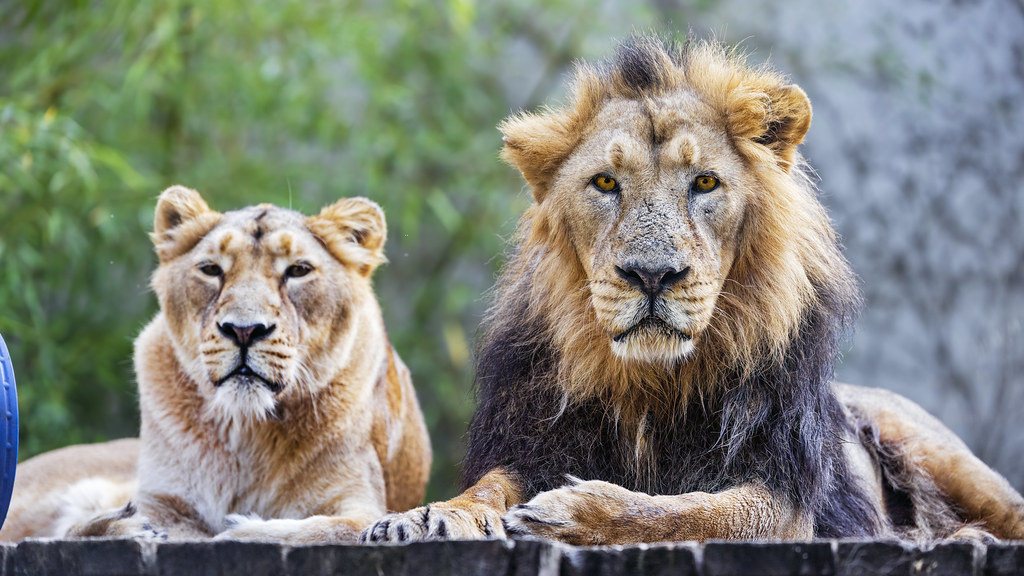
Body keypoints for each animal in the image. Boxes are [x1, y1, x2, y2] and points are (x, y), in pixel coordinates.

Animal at [0, 186, 431, 543]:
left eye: (298, 270)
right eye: (211, 269)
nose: (244, 330)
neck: (248, 431)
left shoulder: (363, 503)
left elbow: (330, 529)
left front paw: (242, 529)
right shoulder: (162, 497)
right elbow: (169, 525)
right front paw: (128, 526)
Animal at [362, 36, 1024, 545]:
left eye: (705, 182)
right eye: (606, 183)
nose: (652, 275)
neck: (650, 388)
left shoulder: (789, 502)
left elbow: (697, 512)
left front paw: (574, 513)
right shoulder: (536, 444)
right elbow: (490, 486)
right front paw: (428, 516)